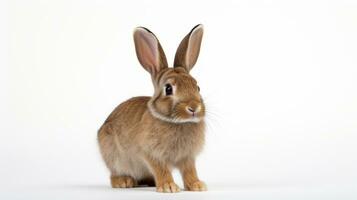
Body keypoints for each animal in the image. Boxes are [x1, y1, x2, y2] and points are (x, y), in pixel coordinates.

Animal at [98, 24, 206, 193]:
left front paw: (197, 185)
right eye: (168, 89)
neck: (177, 122)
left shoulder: (187, 157)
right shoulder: (152, 154)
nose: (193, 107)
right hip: (114, 157)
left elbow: (190, 170)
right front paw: (168, 186)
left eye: (197, 87)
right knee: (115, 174)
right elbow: (161, 169)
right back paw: (124, 181)